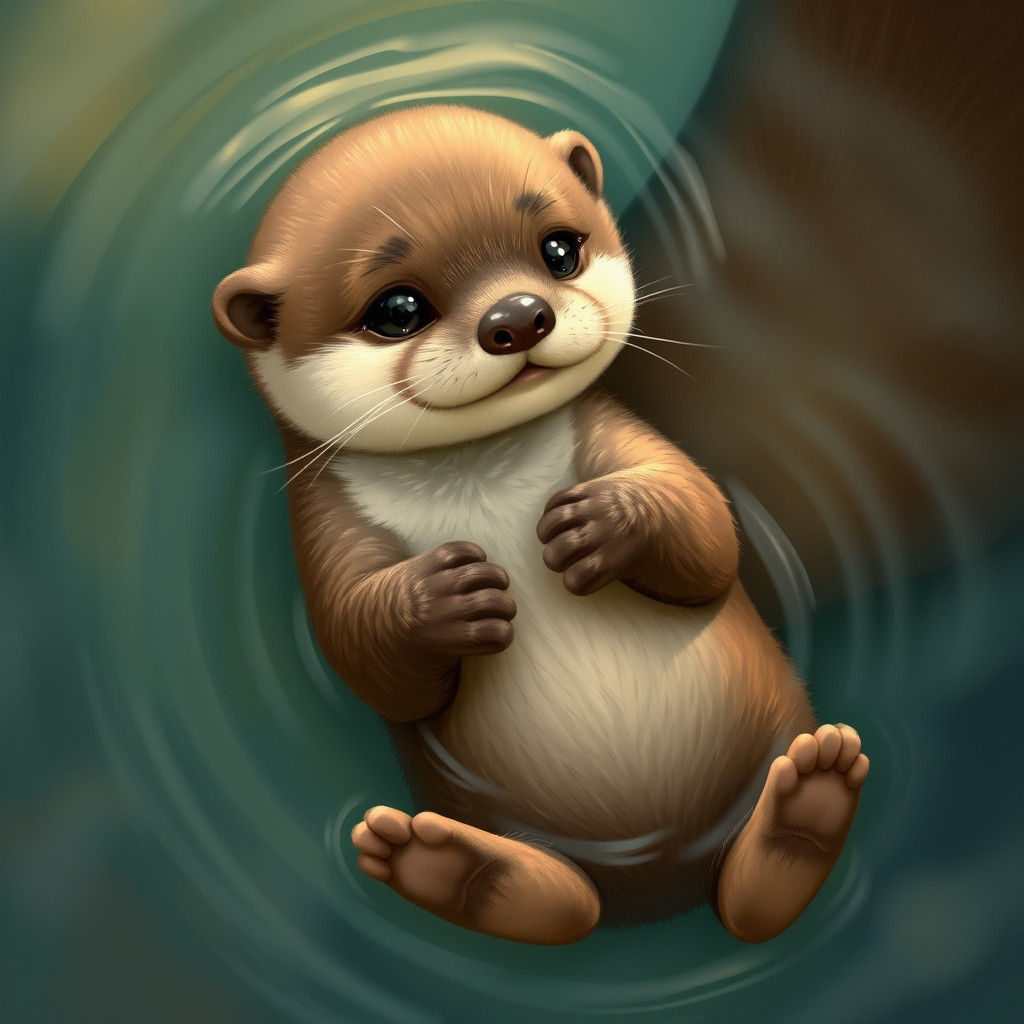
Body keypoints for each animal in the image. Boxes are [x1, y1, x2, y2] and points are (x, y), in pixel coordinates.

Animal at [212, 105, 869, 945]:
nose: (518, 315)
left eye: (560, 249)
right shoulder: (326, 523)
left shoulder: (613, 429)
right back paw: (445, 864)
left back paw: (807, 802)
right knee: (563, 908)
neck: (483, 486)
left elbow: (707, 531)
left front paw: (600, 525)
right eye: (398, 309)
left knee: (748, 905)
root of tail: (662, 888)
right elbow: (365, 655)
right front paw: (445, 598)